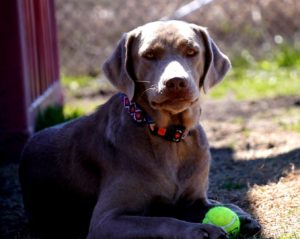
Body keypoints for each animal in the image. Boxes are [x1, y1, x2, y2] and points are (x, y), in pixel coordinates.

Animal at [20, 21, 260, 239]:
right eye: (150, 54)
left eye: (192, 51)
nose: (176, 82)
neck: (169, 137)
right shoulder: (106, 220)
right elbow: (162, 220)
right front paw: (201, 230)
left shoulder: (194, 200)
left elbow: (211, 204)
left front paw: (241, 217)